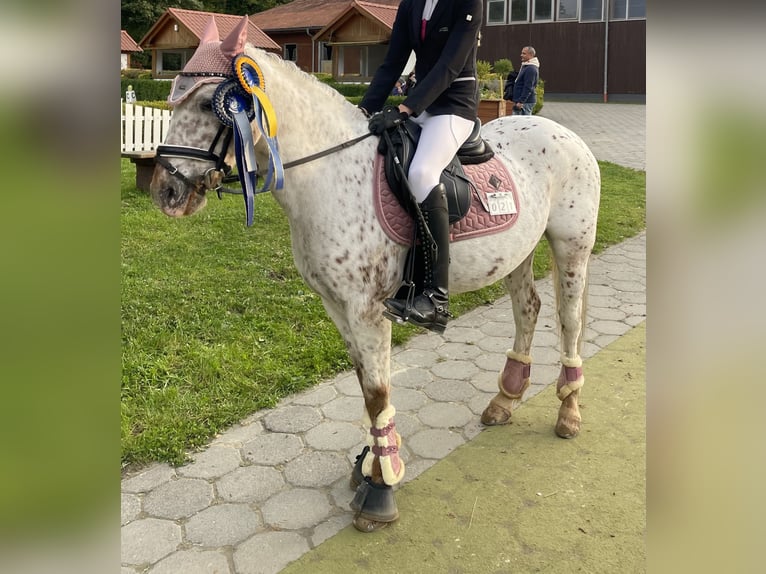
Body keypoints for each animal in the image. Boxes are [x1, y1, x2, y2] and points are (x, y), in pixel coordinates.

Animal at [148, 15, 600, 532]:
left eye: (209, 103)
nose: (164, 192)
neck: (329, 175)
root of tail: (561, 130)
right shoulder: (338, 307)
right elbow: (367, 389)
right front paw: (371, 466)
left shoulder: (368, 309)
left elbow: (379, 392)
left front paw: (381, 488)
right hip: (517, 254)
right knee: (528, 309)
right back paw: (505, 401)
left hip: (572, 246)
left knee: (569, 321)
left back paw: (569, 411)